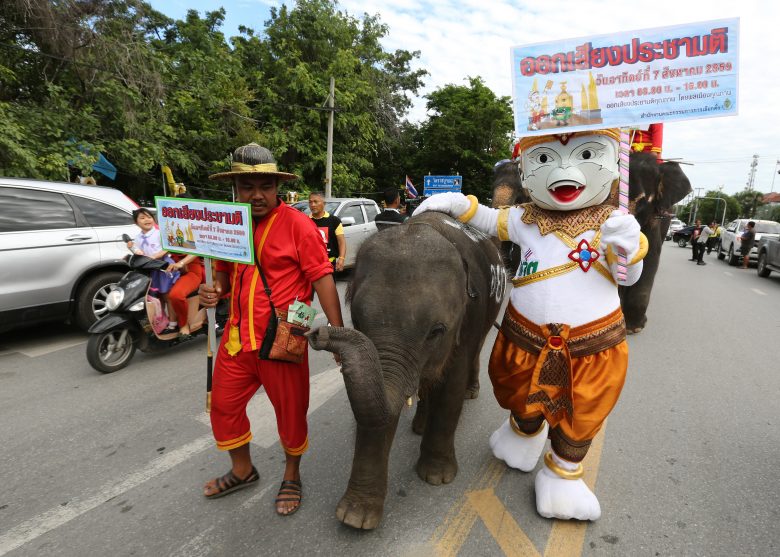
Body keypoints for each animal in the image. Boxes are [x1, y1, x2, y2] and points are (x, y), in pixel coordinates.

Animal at [308, 211, 508, 528]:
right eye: (357, 320)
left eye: (436, 331)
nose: (319, 334)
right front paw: (355, 518)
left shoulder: (467, 319)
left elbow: (451, 384)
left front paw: (436, 478)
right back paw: (419, 425)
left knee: (477, 349)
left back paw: (471, 392)